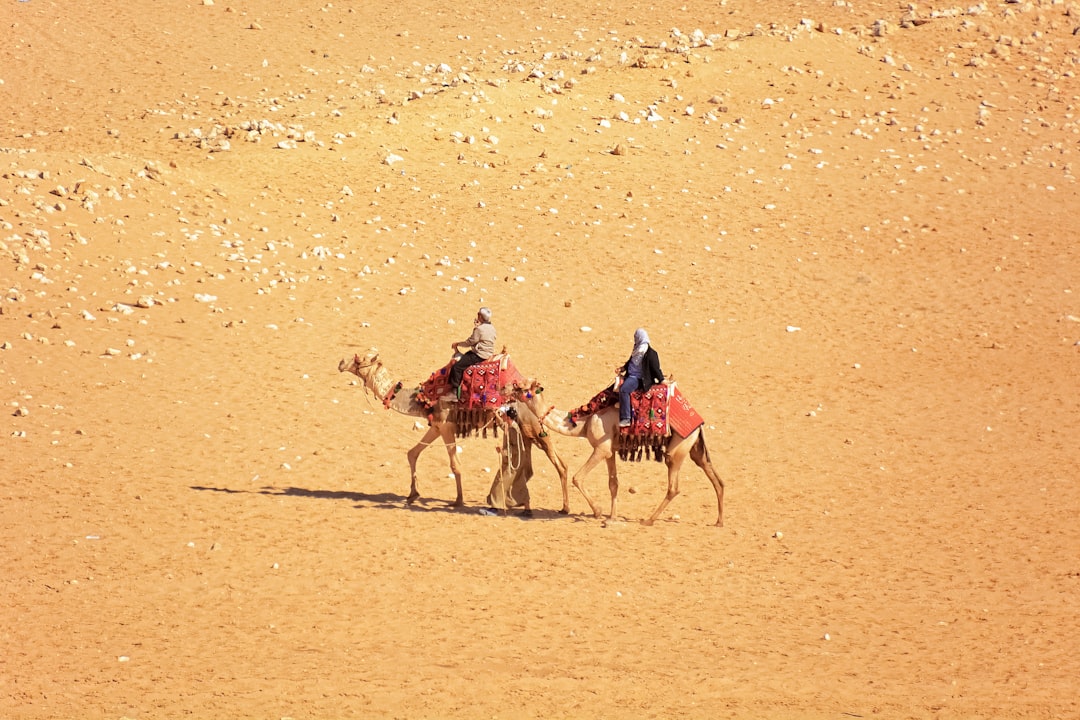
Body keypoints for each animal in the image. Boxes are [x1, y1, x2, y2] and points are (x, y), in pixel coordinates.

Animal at [339, 349, 574, 511]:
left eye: (359, 359)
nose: (341, 362)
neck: (422, 398)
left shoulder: (446, 426)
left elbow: (455, 465)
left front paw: (458, 500)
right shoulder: (436, 426)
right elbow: (412, 453)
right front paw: (412, 494)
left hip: (531, 426)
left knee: (559, 464)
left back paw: (563, 508)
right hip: (526, 429)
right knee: (532, 465)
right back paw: (520, 504)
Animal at [507, 379, 725, 526]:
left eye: (522, 387)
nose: (508, 388)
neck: (584, 421)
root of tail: (699, 422)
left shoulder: (601, 448)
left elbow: (578, 477)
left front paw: (598, 511)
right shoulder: (610, 451)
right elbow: (613, 484)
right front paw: (612, 516)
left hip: (677, 449)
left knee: (673, 487)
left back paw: (648, 520)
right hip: (695, 448)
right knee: (716, 479)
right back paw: (719, 521)